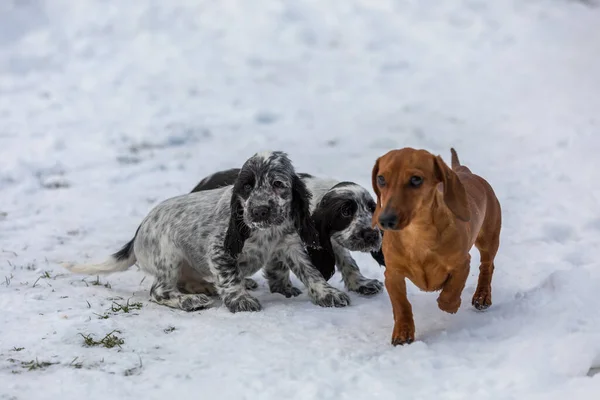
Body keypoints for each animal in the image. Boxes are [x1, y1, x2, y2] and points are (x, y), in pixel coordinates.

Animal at [63, 151, 352, 312]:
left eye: (278, 184)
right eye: (246, 187)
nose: (259, 211)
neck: (265, 232)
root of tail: (137, 233)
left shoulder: (290, 244)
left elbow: (310, 272)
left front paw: (328, 294)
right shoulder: (219, 250)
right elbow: (229, 278)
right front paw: (240, 300)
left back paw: (208, 287)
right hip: (168, 257)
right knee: (159, 291)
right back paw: (189, 301)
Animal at [191, 167, 384, 296]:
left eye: (372, 209)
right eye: (346, 212)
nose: (372, 235)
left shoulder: (329, 241)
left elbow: (347, 260)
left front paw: (361, 283)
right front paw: (284, 289)